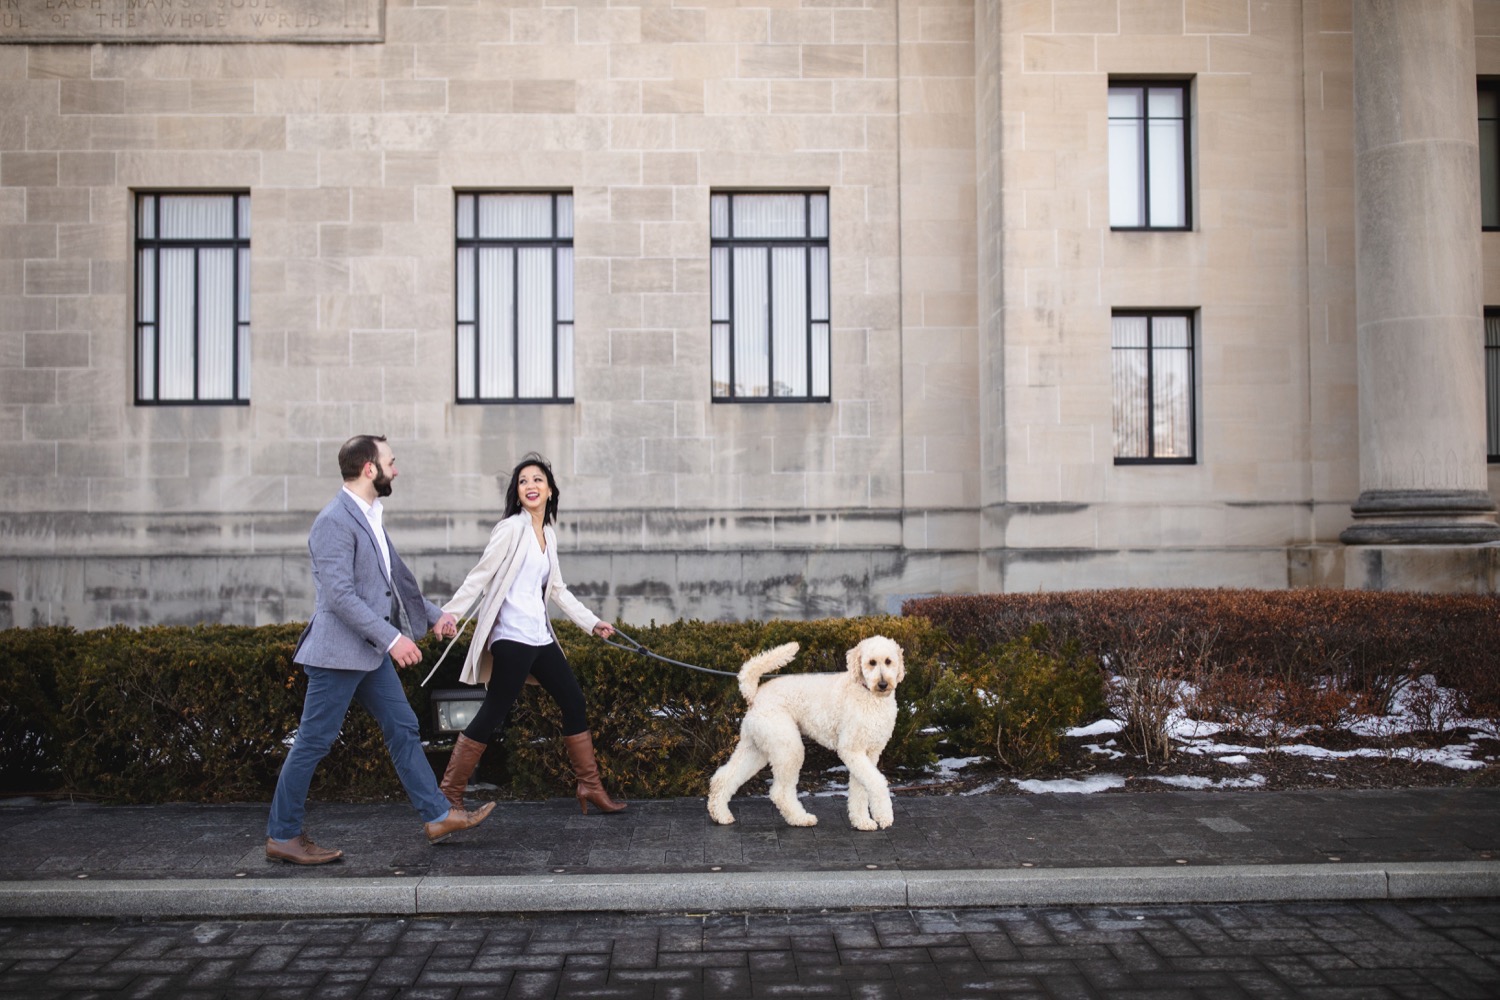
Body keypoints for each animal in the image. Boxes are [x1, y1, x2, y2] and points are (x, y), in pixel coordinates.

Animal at [702, 638, 900, 833]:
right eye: (871, 662)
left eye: (888, 661)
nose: (883, 684)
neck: (868, 694)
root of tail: (755, 695)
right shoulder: (851, 750)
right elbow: (877, 782)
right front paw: (884, 815)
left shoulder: (869, 753)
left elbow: (861, 788)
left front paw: (862, 821)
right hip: (789, 748)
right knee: (780, 793)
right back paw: (801, 818)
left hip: (756, 749)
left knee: (723, 778)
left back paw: (720, 815)